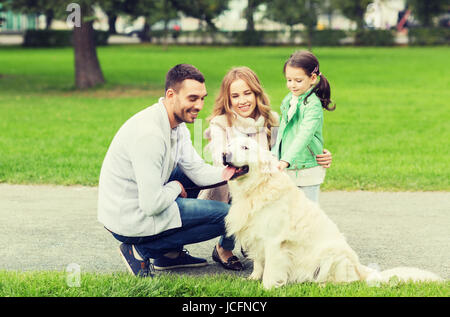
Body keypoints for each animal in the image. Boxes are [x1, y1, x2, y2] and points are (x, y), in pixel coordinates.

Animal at [223, 136, 442, 288]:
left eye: (245, 147)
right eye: (229, 145)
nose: (224, 155)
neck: (256, 188)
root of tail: (361, 268)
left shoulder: (274, 240)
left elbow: (270, 268)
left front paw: (267, 287)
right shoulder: (255, 235)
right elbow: (259, 263)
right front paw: (252, 279)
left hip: (331, 255)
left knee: (346, 282)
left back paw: (322, 285)